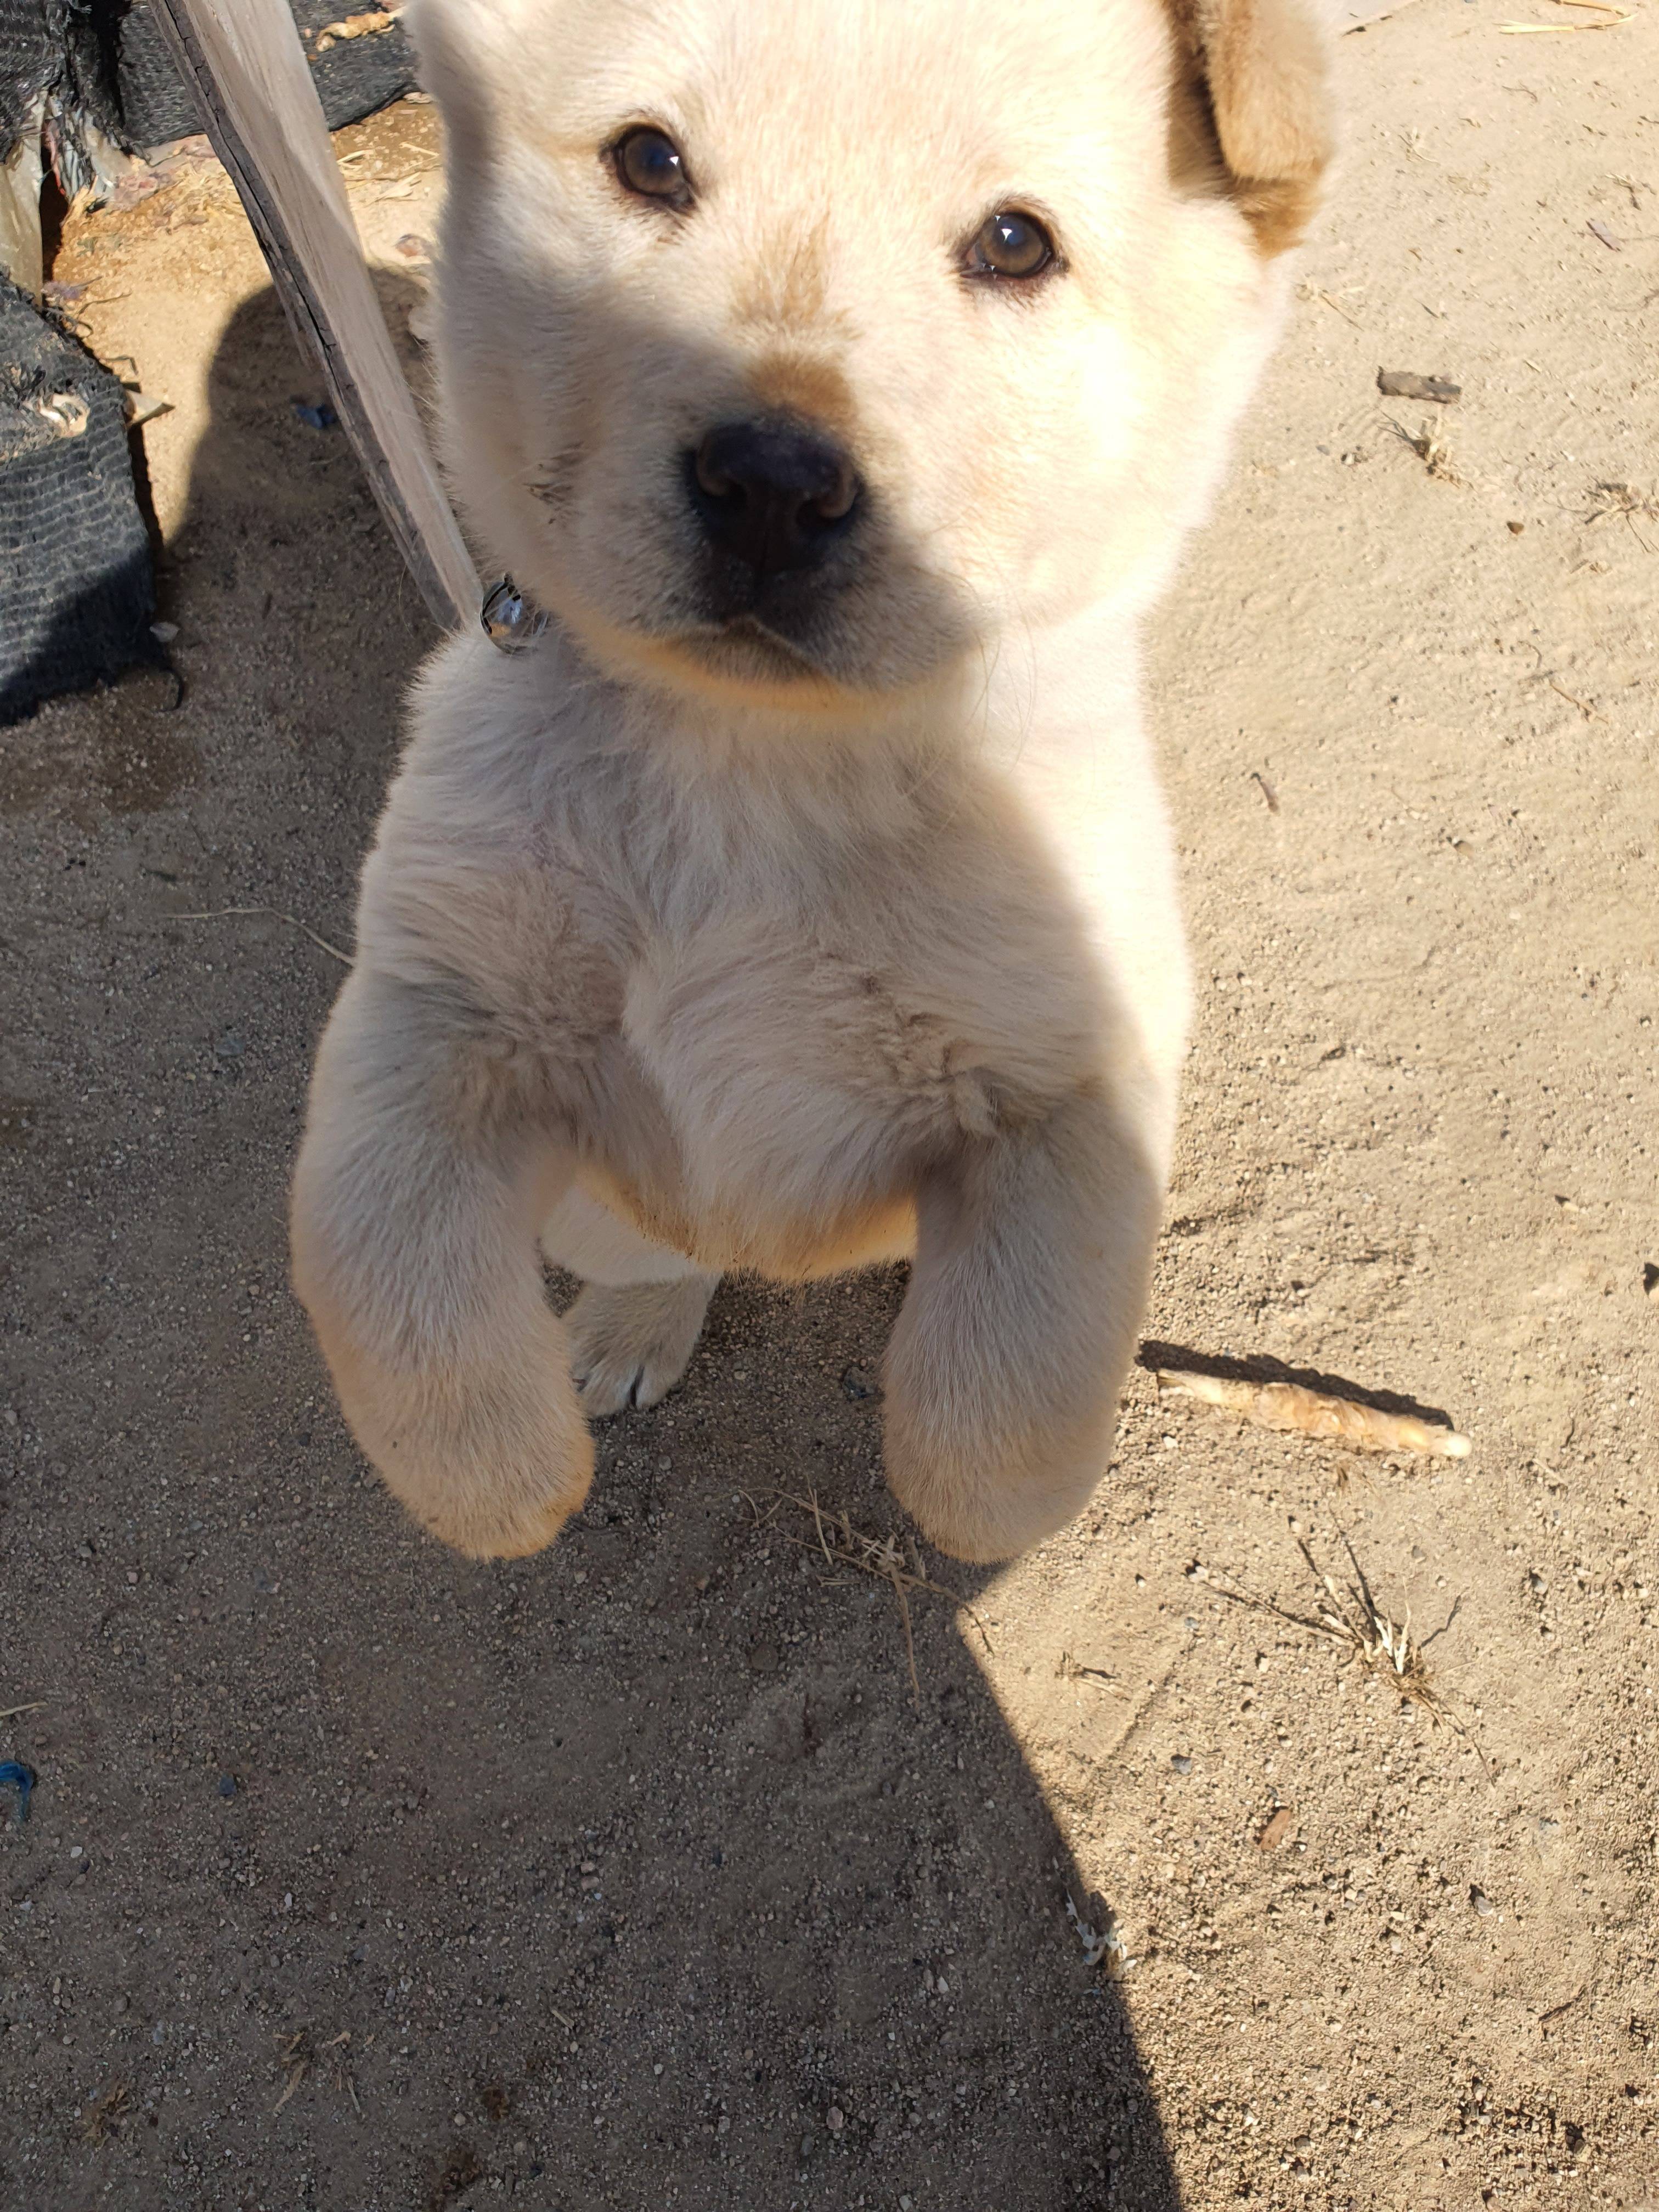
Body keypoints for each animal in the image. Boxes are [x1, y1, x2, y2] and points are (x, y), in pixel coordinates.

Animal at [290, 0, 1327, 1566]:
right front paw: (494, 1483)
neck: (756, 765)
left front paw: (983, 1511)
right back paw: (629, 1329)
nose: (772, 485)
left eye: (1016, 244)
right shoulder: (438, 1001)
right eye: (649, 161)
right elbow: (373, 1248)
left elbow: (1010, 1390)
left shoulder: (1072, 1070)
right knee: (651, 1251)